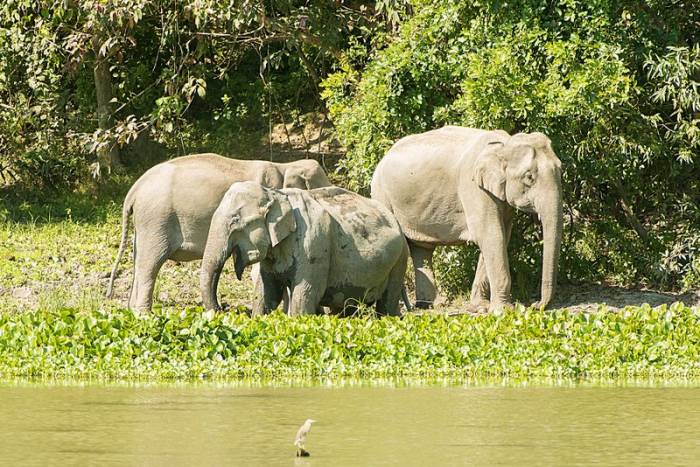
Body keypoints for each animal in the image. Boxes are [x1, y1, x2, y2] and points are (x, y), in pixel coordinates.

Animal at [106, 154, 330, 312]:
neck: (285, 166)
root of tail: (134, 190)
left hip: (143, 226)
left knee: (139, 261)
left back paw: (132, 311)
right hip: (155, 221)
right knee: (150, 264)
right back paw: (144, 314)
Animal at [201, 183, 410, 318]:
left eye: (235, 221)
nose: (222, 310)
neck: (276, 193)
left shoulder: (314, 245)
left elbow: (305, 296)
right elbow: (268, 294)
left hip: (399, 261)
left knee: (387, 304)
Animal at [372, 126, 564, 312]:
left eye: (561, 170)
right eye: (529, 177)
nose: (536, 305)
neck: (503, 145)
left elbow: (501, 235)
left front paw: (480, 308)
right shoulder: (473, 188)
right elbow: (491, 235)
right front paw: (505, 311)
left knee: (422, 249)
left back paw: (429, 306)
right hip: (382, 195)